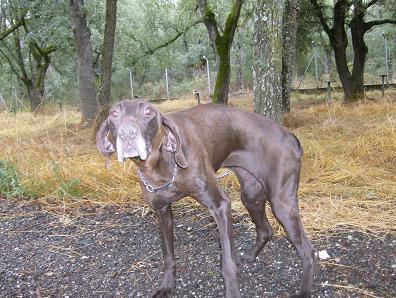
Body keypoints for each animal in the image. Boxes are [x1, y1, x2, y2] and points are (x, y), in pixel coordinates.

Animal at [96, 99, 316, 296]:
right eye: (113, 114)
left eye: (148, 111)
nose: (127, 133)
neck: (162, 168)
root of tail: (291, 136)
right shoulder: (162, 211)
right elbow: (168, 255)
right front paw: (167, 286)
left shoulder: (220, 206)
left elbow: (227, 265)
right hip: (250, 194)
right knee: (265, 230)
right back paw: (250, 256)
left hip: (281, 204)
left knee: (308, 252)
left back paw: (303, 291)